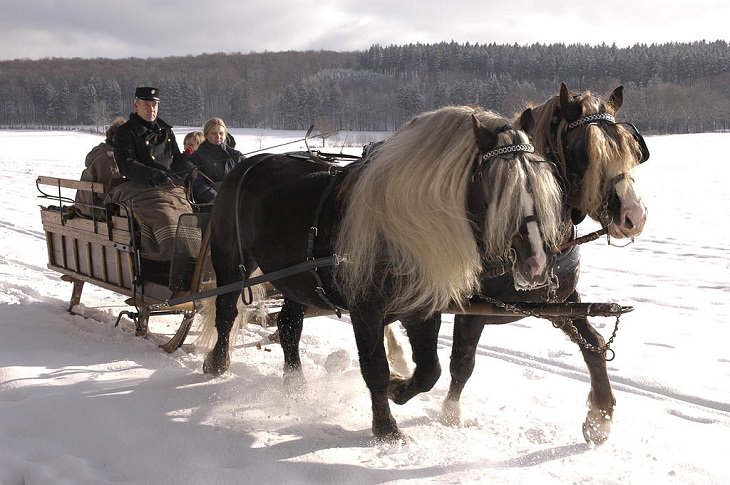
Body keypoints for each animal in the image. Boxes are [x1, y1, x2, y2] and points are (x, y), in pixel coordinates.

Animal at [199, 106, 564, 442]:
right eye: (497, 188)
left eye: (541, 184)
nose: (537, 263)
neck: (398, 231)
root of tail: (246, 166)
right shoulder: (365, 312)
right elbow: (374, 368)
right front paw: (386, 427)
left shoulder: (421, 309)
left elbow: (430, 370)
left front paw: (398, 389)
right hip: (230, 260)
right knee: (226, 310)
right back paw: (217, 363)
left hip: (298, 280)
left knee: (289, 327)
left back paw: (296, 386)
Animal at [438, 82, 648, 442]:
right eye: (585, 151)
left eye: (630, 147)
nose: (634, 215)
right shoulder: (473, 306)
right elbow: (463, 360)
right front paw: (450, 414)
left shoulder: (560, 302)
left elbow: (594, 346)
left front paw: (600, 416)